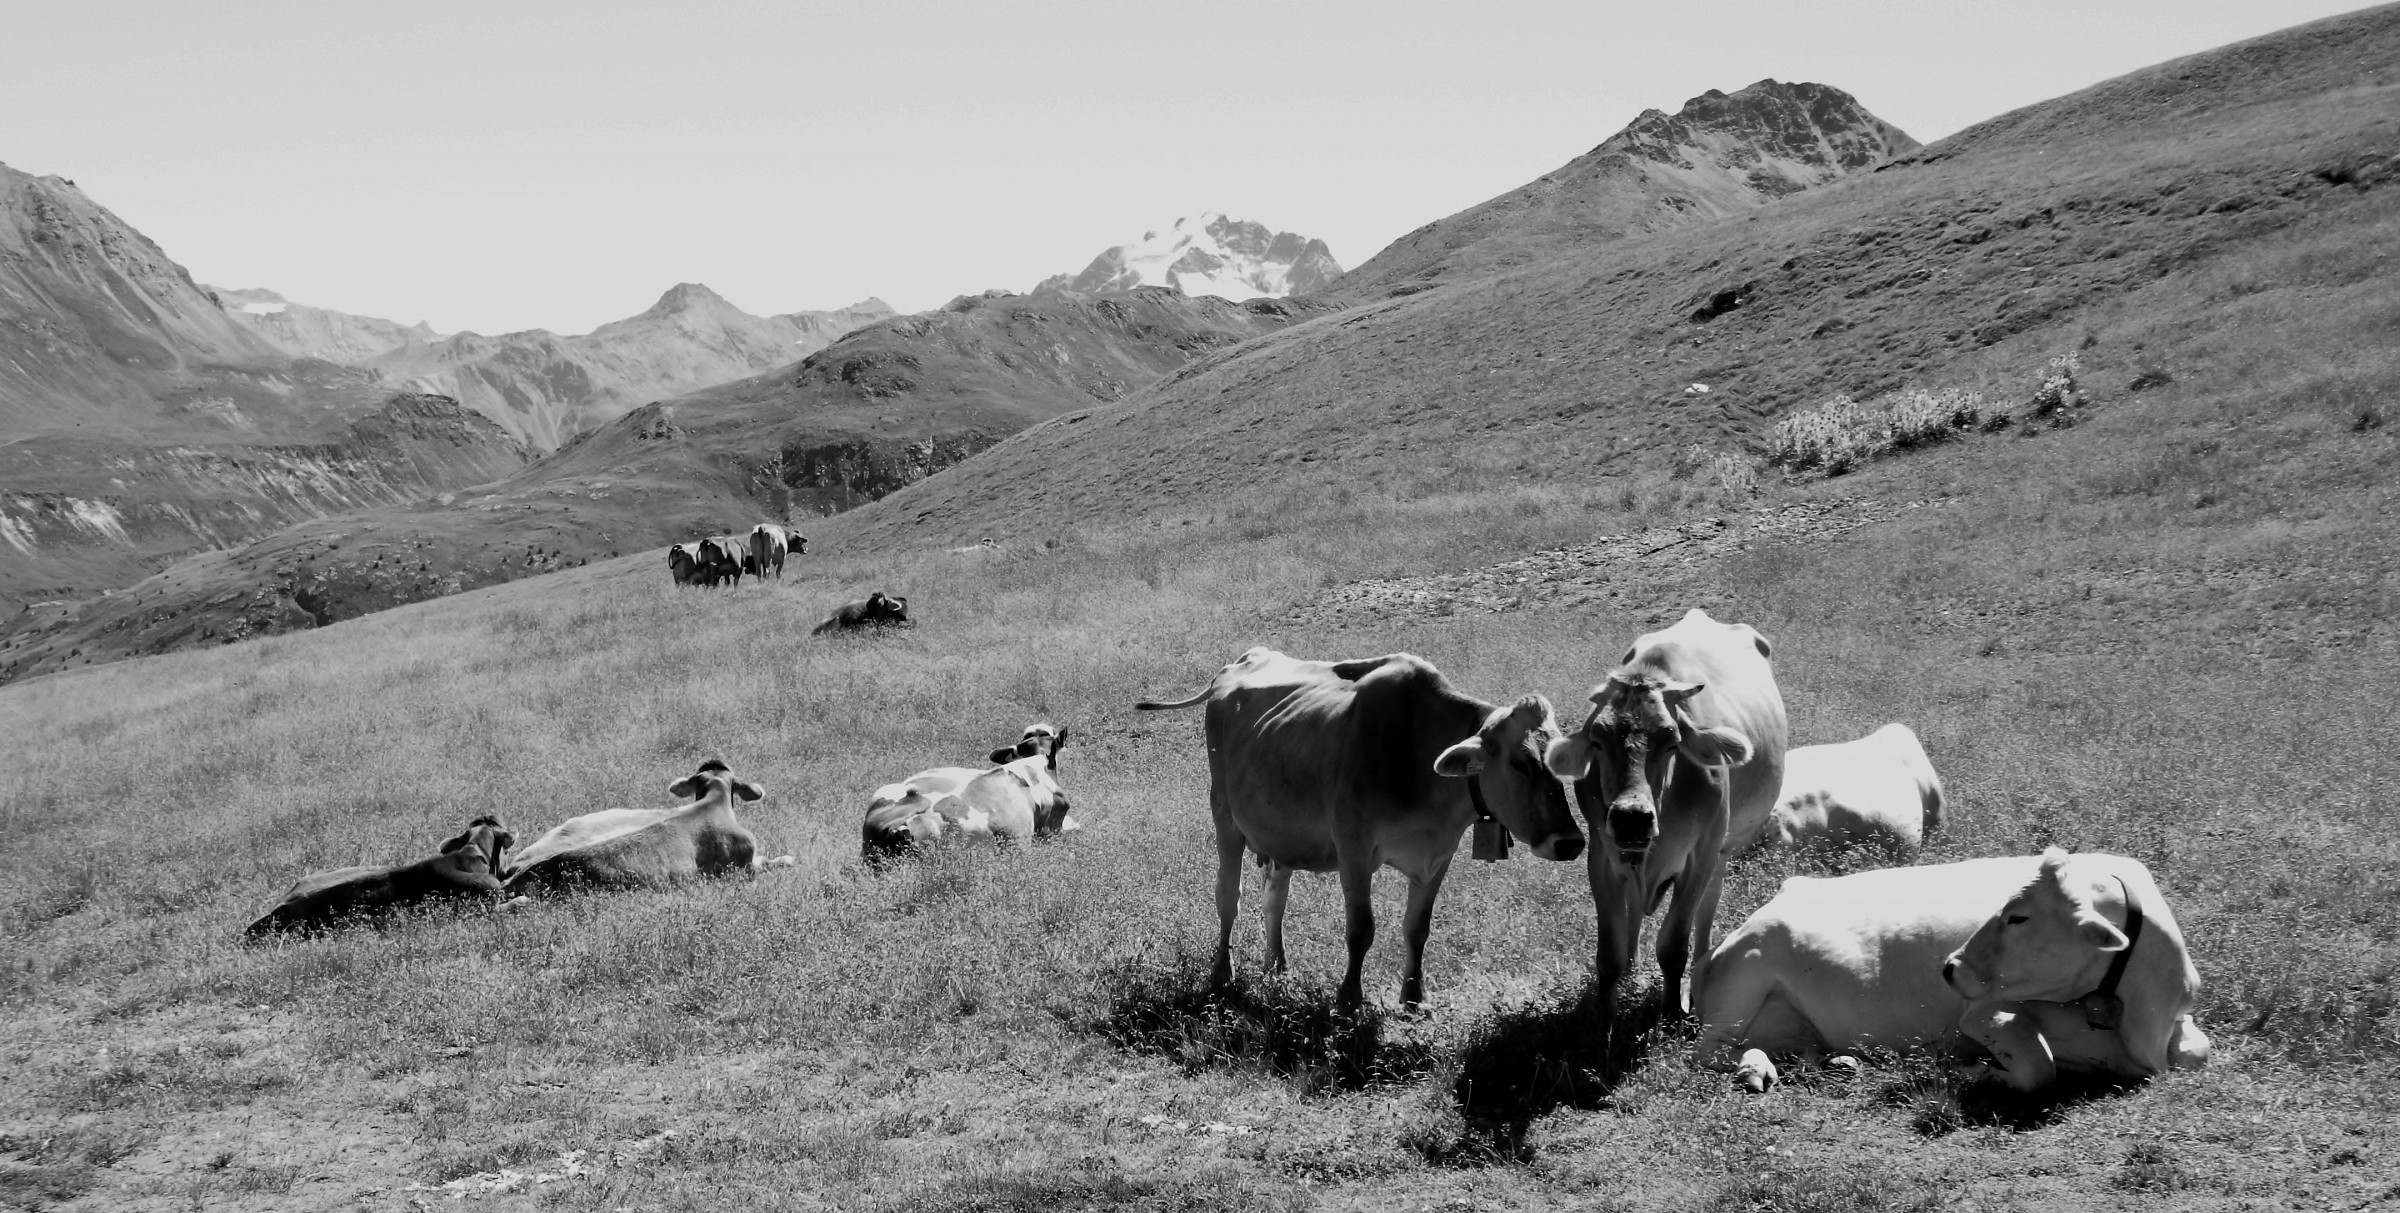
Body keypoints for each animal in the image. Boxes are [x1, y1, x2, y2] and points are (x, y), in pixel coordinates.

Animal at [1137, 647, 1587, 1010]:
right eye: (1522, 763)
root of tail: (1241, 662)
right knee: (1228, 896)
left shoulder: (1438, 856)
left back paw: (1277, 965)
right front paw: (1349, 998)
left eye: (1561, 761)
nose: (1570, 842)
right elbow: (1360, 929)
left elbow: (1417, 929)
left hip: (1281, 835)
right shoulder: (1353, 849)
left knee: (1274, 899)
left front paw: (1413, 997)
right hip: (1225, 818)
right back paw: (1222, 971)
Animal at [1544, 608, 1789, 1017]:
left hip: (1723, 848)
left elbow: (1674, 945)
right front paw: (1604, 1019)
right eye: (1597, 740)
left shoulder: (1700, 855)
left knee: (1710, 902)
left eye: (1672, 740)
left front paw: (1673, 1011)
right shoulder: (1602, 854)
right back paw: (1632, 968)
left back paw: (1704, 960)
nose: (1631, 817)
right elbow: (1608, 953)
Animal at [1696, 848, 2208, 1093]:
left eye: (2017, 917)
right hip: (1743, 979)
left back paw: (1833, 1062)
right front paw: (1973, 1071)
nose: (1950, 967)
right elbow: (2037, 1068)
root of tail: (1791, 887)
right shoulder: (1982, 1012)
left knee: (1793, 1050)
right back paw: (1753, 1069)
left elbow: (2196, 1053)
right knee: (1710, 1051)